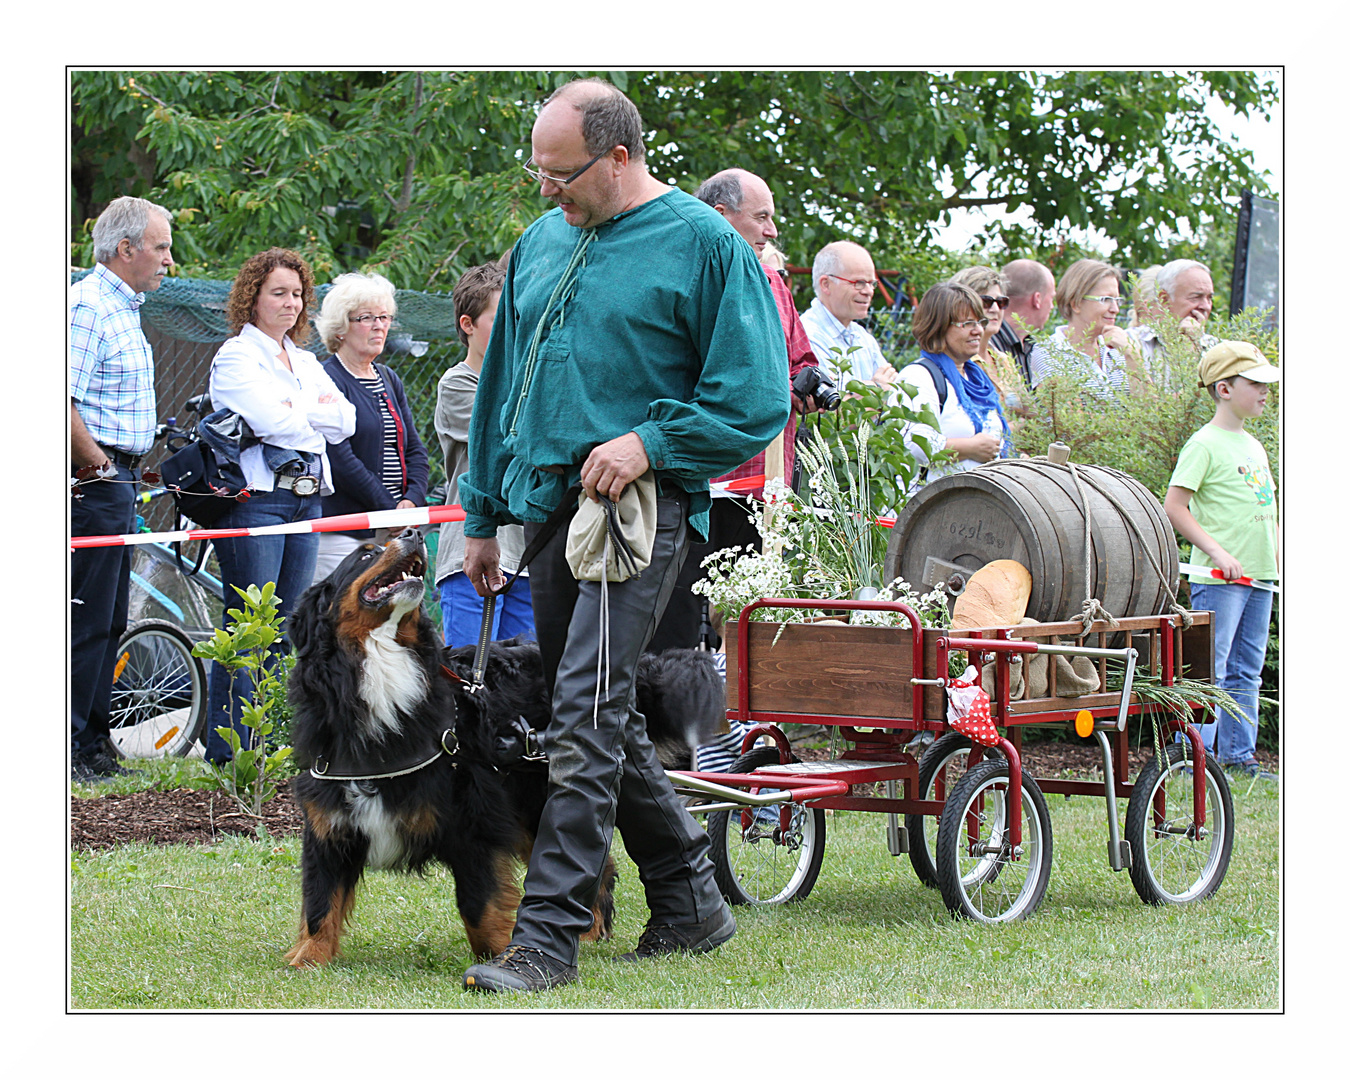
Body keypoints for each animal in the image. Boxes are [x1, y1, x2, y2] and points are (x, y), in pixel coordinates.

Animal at [286, 531, 729, 972]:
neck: (382, 667)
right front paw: (308, 959)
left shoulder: (472, 820)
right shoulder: (329, 820)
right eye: (365, 555)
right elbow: (321, 901)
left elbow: (479, 903)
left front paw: (500, 955)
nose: (412, 533)